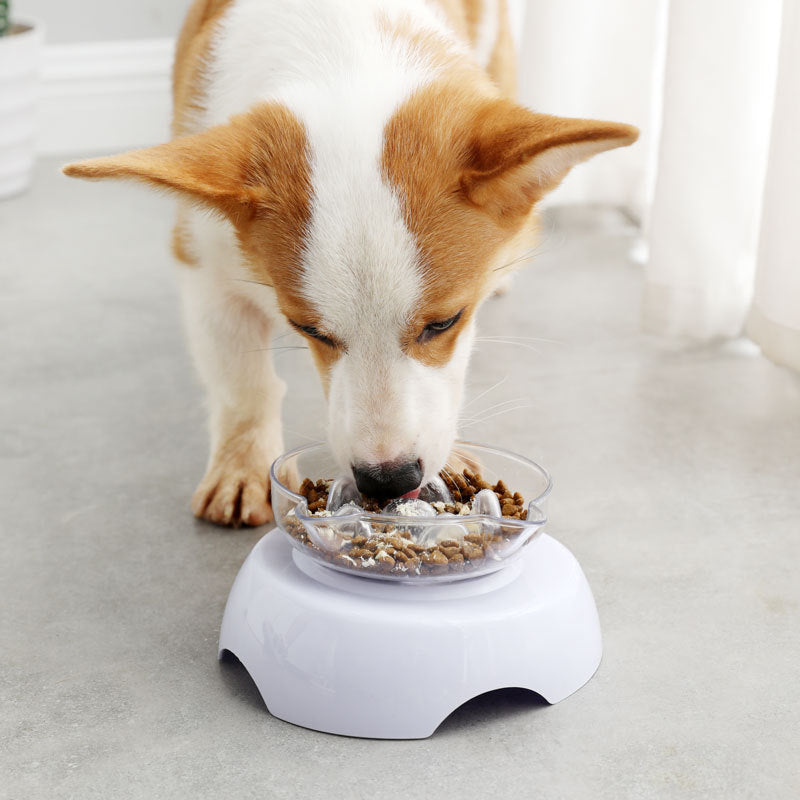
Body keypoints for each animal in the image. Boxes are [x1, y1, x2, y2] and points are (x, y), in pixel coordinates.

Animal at [62, 0, 636, 528]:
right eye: (309, 329)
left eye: (444, 322)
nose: (389, 480)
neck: (342, 49)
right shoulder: (205, 267)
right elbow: (242, 383)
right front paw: (241, 467)